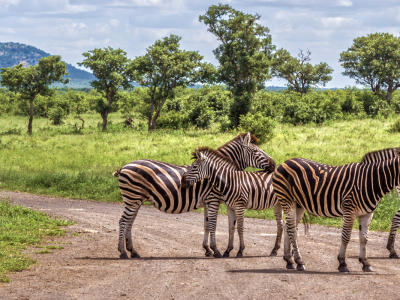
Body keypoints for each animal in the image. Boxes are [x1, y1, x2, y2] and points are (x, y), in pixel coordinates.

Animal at [113, 132, 276, 258]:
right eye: (256, 152)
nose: (274, 164)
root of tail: (124, 167)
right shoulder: (213, 199)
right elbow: (213, 224)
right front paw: (215, 250)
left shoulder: (207, 201)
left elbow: (206, 225)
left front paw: (207, 250)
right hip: (133, 199)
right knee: (123, 222)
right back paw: (123, 252)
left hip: (135, 200)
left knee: (129, 222)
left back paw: (133, 252)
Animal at [272, 149, 400, 274]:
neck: (370, 181)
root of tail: (285, 162)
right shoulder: (349, 210)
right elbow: (346, 237)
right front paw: (342, 263)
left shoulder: (367, 213)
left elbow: (364, 238)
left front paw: (365, 263)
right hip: (287, 200)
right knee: (292, 230)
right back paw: (299, 261)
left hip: (299, 205)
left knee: (288, 228)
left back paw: (289, 261)